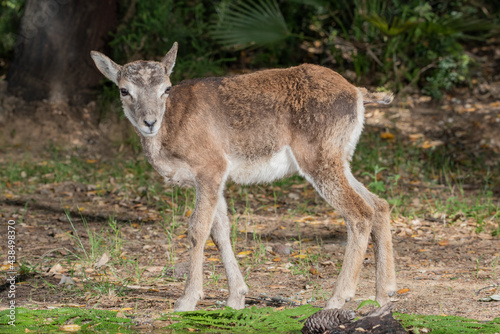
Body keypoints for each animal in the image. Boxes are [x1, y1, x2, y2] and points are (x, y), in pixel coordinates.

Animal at [89, 42, 394, 314]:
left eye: (166, 88)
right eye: (124, 90)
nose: (149, 122)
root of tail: (356, 92)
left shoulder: (210, 167)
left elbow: (197, 228)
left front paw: (187, 300)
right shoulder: (213, 179)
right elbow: (221, 231)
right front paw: (236, 298)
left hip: (319, 158)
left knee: (359, 212)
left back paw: (337, 299)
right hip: (339, 157)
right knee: (379, 203)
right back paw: (384, 295)